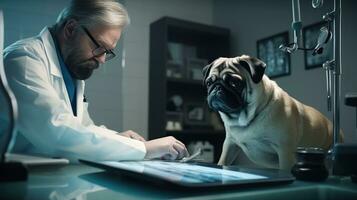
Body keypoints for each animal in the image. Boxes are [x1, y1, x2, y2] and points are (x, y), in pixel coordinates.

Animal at [203, 55, 342, 170]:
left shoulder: (285, 151)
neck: (246, 118)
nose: (216, 88)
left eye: (234, 83)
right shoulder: (230, 144)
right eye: (209, 83)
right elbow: (222, 161)